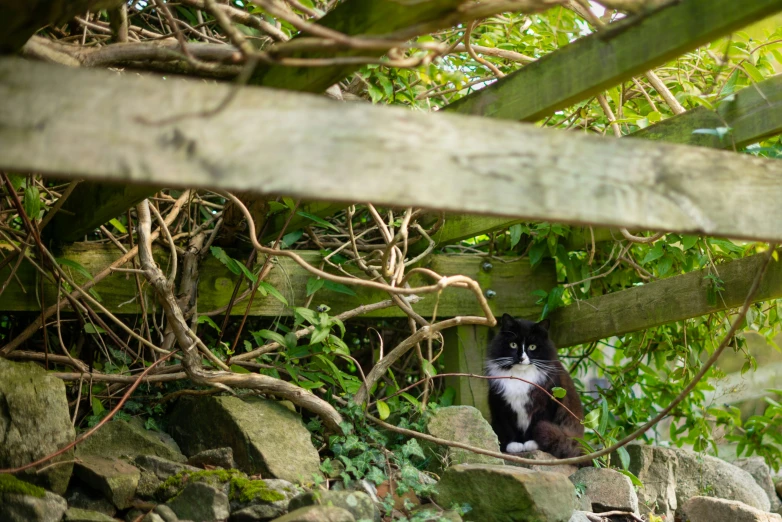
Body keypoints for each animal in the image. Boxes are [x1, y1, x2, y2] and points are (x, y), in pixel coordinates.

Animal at [486, 312, 584, 456]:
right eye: (513, 345)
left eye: (532, 347)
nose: (521, 358)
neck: (521, 377)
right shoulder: (501, 406)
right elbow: (509, 427)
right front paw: (514, 445)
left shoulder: (546, 404)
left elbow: (536, 424)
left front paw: (531, 443)